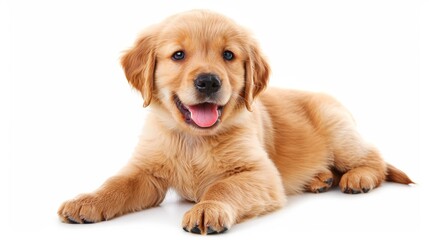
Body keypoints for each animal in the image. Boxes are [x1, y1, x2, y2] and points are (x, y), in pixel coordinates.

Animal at [56, 9, 412, 234]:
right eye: (178, 55)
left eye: (228, 55)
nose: (208, 81)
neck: (194, 138)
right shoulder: (146, 172)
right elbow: (117, 183)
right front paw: (88, 201)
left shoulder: (261, 174)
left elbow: (224, 185)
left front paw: (208, 208)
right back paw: (319, 179)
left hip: (341, 134)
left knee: (374, 158)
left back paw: (358, 178)